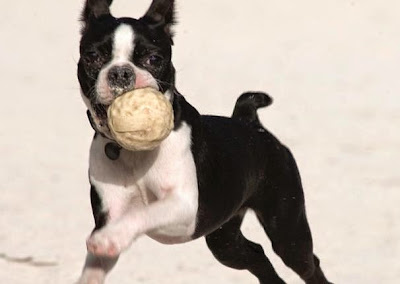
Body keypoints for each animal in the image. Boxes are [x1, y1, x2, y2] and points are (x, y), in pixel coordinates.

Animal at [76, 0, 332, 284]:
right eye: (92, 57)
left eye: (154, 59)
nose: (121, 72)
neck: (133, 152)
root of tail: (250, 122)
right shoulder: (110, 214)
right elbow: (94, 268)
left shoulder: (183, 206)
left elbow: (143, 212)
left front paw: (109, 238)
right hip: (225, 241)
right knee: (257, 255)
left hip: (288, 231)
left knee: (308, 263)